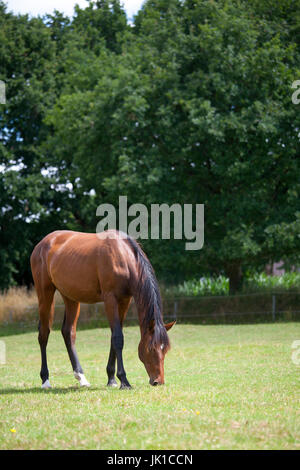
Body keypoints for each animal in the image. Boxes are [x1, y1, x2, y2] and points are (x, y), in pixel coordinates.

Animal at [29, 230, 176, 390]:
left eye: (165, 349)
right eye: (151, 349)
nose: (158, 381)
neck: (123, 257)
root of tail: (43, 243)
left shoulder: (124, 301)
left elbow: (114, 336)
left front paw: (111, 379)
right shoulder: (110, 299)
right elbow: (118, 337)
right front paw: (124, 380)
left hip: (70, 297)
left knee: (68, 332)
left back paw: (81, 377)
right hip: (45, 293)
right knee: (44, 333)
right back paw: (45, 380)